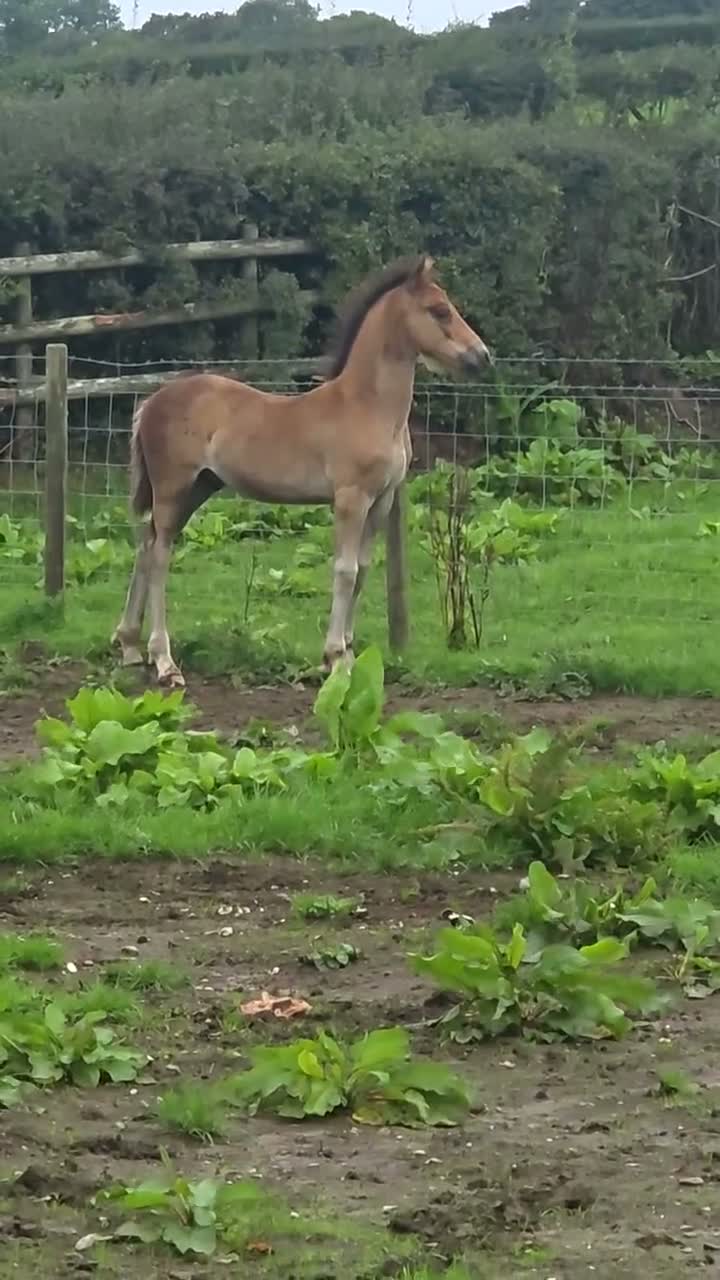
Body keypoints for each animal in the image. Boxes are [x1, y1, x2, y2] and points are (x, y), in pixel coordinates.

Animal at [113, 253, 491, 686]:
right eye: (439, 310)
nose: (482, 356)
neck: (367, 406)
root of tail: (151, 402)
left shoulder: (379, 502)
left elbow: (362, 570)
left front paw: (347, 652)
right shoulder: (350, 499)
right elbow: (344, 571)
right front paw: (336, 658)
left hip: (199, 488)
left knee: (146, 546)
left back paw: (129, 645)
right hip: (173, 488)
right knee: (159, 556)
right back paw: (164, 661)